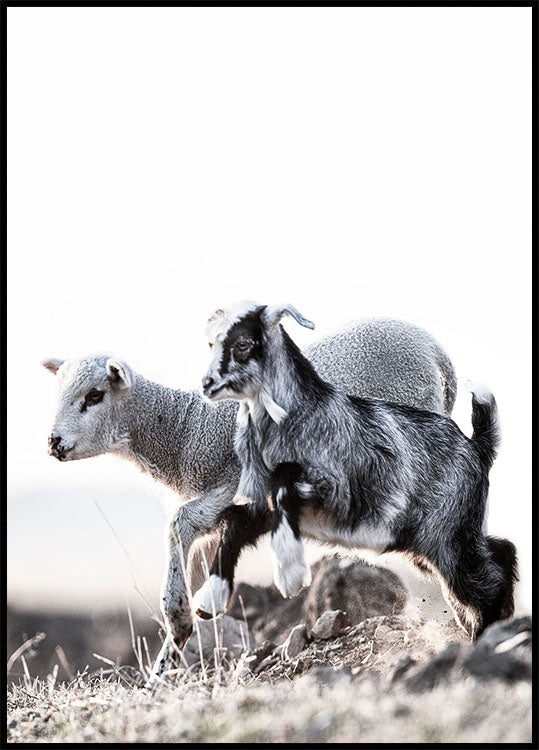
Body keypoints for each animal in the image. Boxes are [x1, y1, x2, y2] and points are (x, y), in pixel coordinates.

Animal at [42, 317, 457, 685]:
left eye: (95, 395)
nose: (53, 443)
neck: (184, 430)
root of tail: (434, 349)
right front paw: (162, 671)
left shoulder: (229, 486)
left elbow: (179, 528)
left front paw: (177, 628)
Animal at [199, 302, 517, 639]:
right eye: (212, 342)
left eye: (244, 343)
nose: (207, 384)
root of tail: (477, 445)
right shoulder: (259, 503)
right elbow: (235, 521)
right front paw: (209, 600)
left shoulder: (336, 491)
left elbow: (283, 485)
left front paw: (290, 574)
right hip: (439, 538)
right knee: (499, 551)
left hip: (447, 538)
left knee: (484, 578)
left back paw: (486, 632)